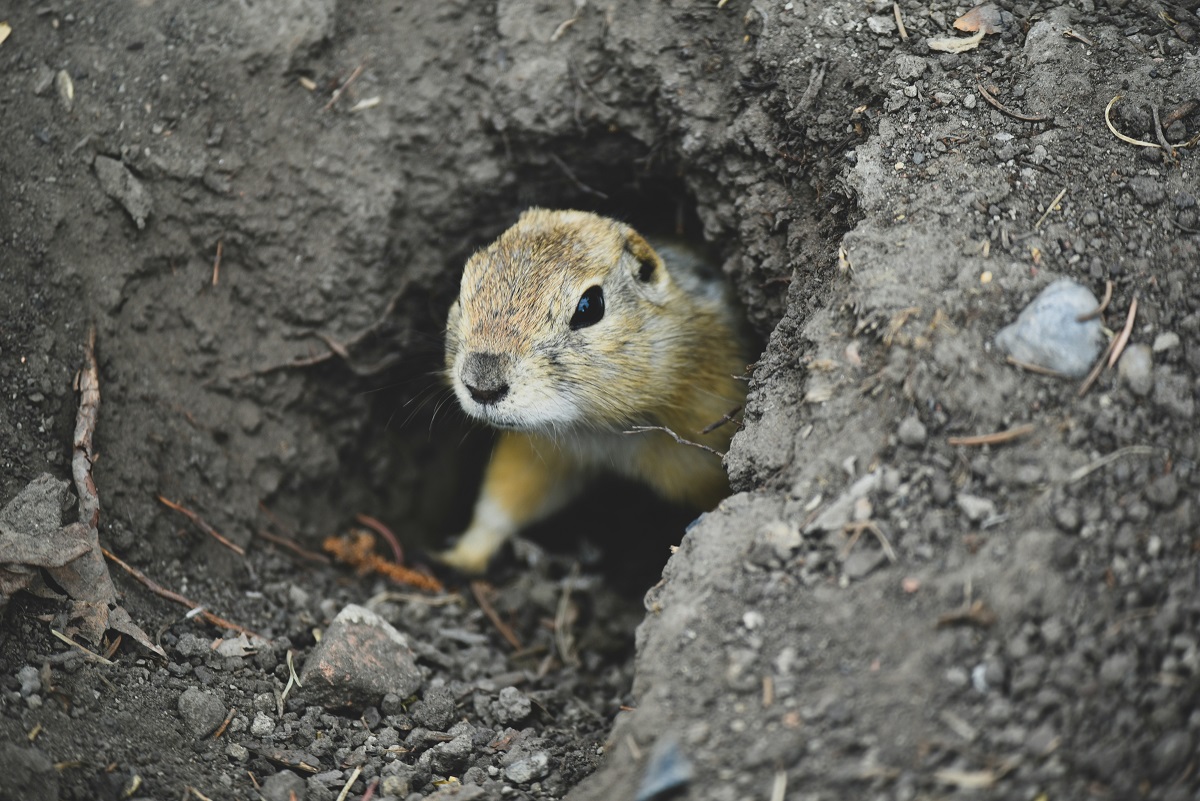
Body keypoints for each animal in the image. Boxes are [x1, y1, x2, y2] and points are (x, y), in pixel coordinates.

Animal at [438, 208, 751, 574]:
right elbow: (502, 499)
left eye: (590, 306)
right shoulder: (540, 452)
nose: (482, 385)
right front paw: (459, 557)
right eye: (462, 292)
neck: (601, 427)